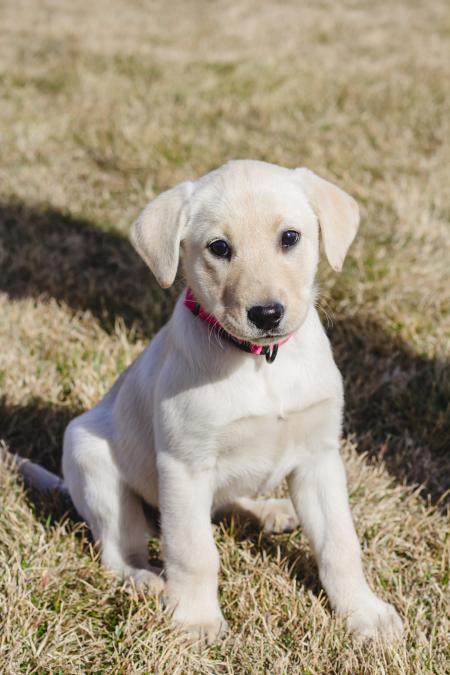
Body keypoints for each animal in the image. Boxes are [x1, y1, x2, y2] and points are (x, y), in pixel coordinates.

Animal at [60, 158, 404, 644]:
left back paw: (271, 511)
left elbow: (340, 543)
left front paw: (364, 612)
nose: (267, 314)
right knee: (117, 545)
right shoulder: (184, 466)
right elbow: (194, 550)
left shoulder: (319, 457)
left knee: (226, 503)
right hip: (92, 463)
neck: (261, 362)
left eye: (290, 237)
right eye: (219, 248)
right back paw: (143, 579)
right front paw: (196, 620)